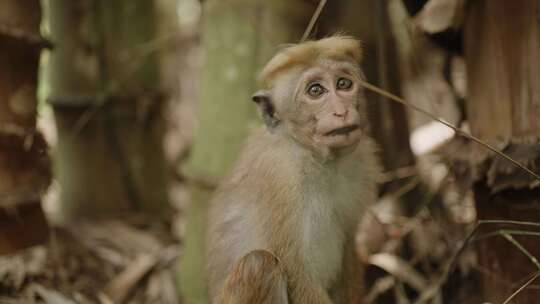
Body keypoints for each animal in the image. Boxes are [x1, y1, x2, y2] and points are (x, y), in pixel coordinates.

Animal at [207, 36, 380, 304]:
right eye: (316, 90)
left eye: (343, 84)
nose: (341, 111)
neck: (316, 158)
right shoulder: (280, 176)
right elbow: (296, 271)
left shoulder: (361, 163)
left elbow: (348, 249)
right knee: (259, 262)